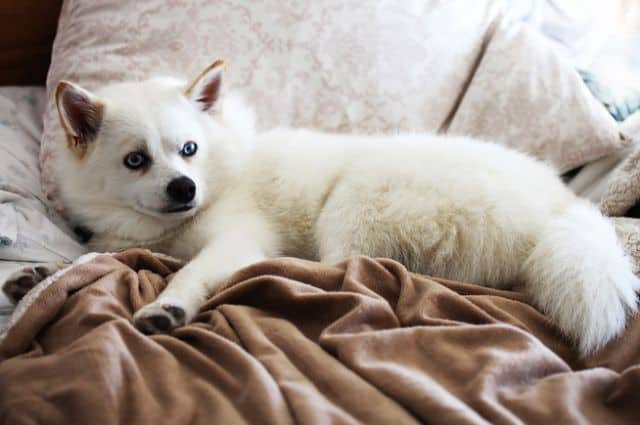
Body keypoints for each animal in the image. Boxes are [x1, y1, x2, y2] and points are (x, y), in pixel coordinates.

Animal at [23, 58, 640, 354]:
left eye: (188, 150)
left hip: (354, 200)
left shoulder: (238, 238)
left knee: (340, 270)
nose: (183, 189)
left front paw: (168, 306)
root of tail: (562, 211)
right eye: (136, 160)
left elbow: (190, 271)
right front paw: (35, 274)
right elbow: (99, 258)